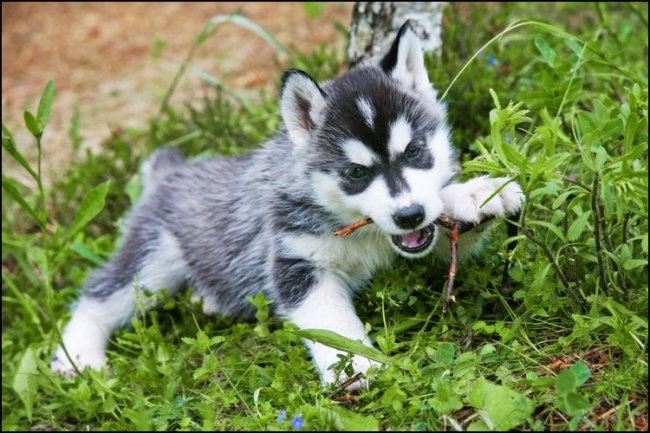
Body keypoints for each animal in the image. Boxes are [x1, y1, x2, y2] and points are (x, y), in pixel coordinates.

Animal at [53, 22, 524, 388]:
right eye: (355, 173)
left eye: (414, 152)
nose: (408, 215)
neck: (362, 229)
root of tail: (169, 172)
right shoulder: (296, 265)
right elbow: (333, 324)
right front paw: (358, 366)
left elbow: (447, 232)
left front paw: (475, 194)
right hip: (152, 265)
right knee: (97, 293)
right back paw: (77, 357)